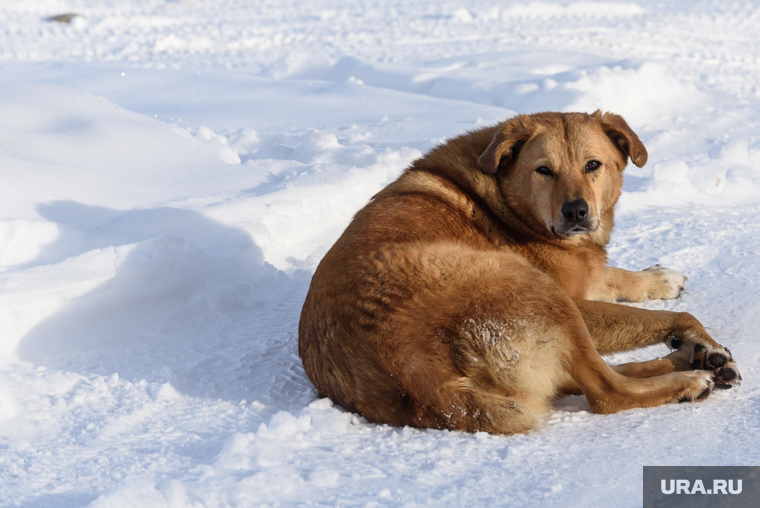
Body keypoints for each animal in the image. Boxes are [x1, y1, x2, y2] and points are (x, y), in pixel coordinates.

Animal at [298, 110, 744, 432]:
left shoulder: (585, 274)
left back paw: (688, 361)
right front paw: (697, 336)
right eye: (543, 170)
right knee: (606, 391)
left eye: (593, 165)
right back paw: (687, 378)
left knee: (580, 377)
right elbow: (676, 314)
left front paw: (660, 279)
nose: (577, 211)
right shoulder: (574, 297)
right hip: (534, 290)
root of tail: (410, 372)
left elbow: (615, 276)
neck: (508, 202)